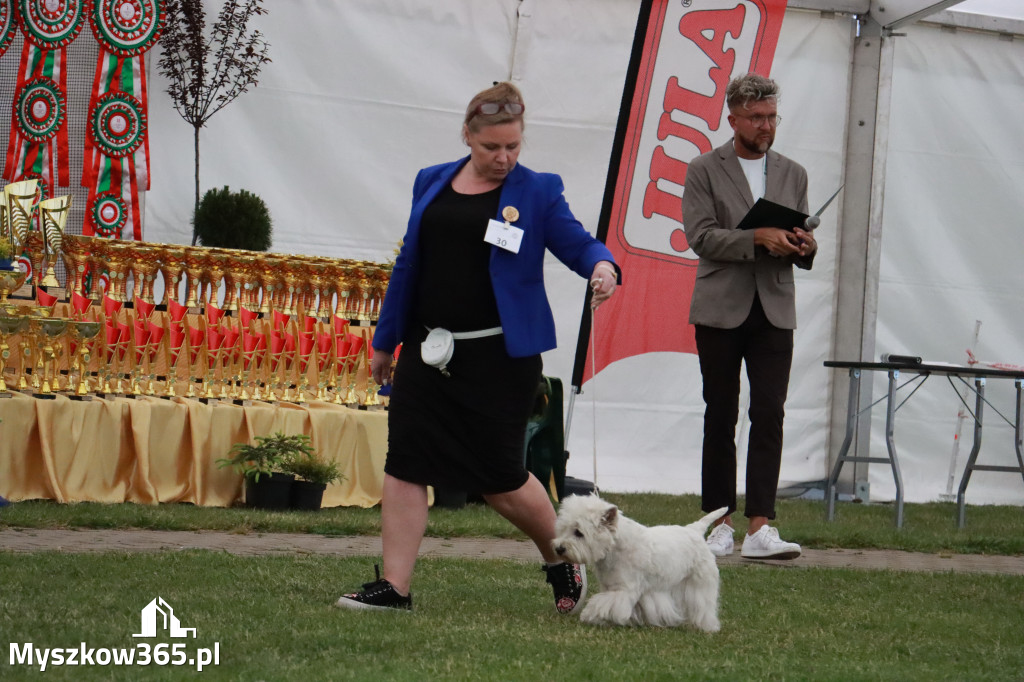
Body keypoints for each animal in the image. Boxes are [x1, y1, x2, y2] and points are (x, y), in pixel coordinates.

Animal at [552, 491, 729, 630]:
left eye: (579, 532)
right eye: (563, 528)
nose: (559, 548)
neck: (615, 548)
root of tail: (695, 530)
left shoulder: (625, 590)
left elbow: (602, 603)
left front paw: (588, 614)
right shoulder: (611, 587)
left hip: (700, 581)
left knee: (704, 605)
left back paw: (707, 626)